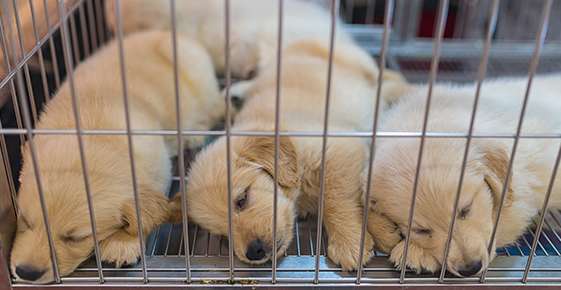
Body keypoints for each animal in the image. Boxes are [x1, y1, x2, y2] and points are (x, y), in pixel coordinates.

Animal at [10, 30, 221, 284]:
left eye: (75, 238)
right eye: (24, 221)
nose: (26, 272)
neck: (90, 128)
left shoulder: (157, 168)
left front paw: (122, 243)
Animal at [168, 37, 404, 270]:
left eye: (242, 199)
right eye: (223, 236)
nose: (254, 252)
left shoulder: (339, 148)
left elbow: (335, 198)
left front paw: (349, 242)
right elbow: (359, 198)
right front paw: (384, 231)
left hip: (357, 61)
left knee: (383, 75)